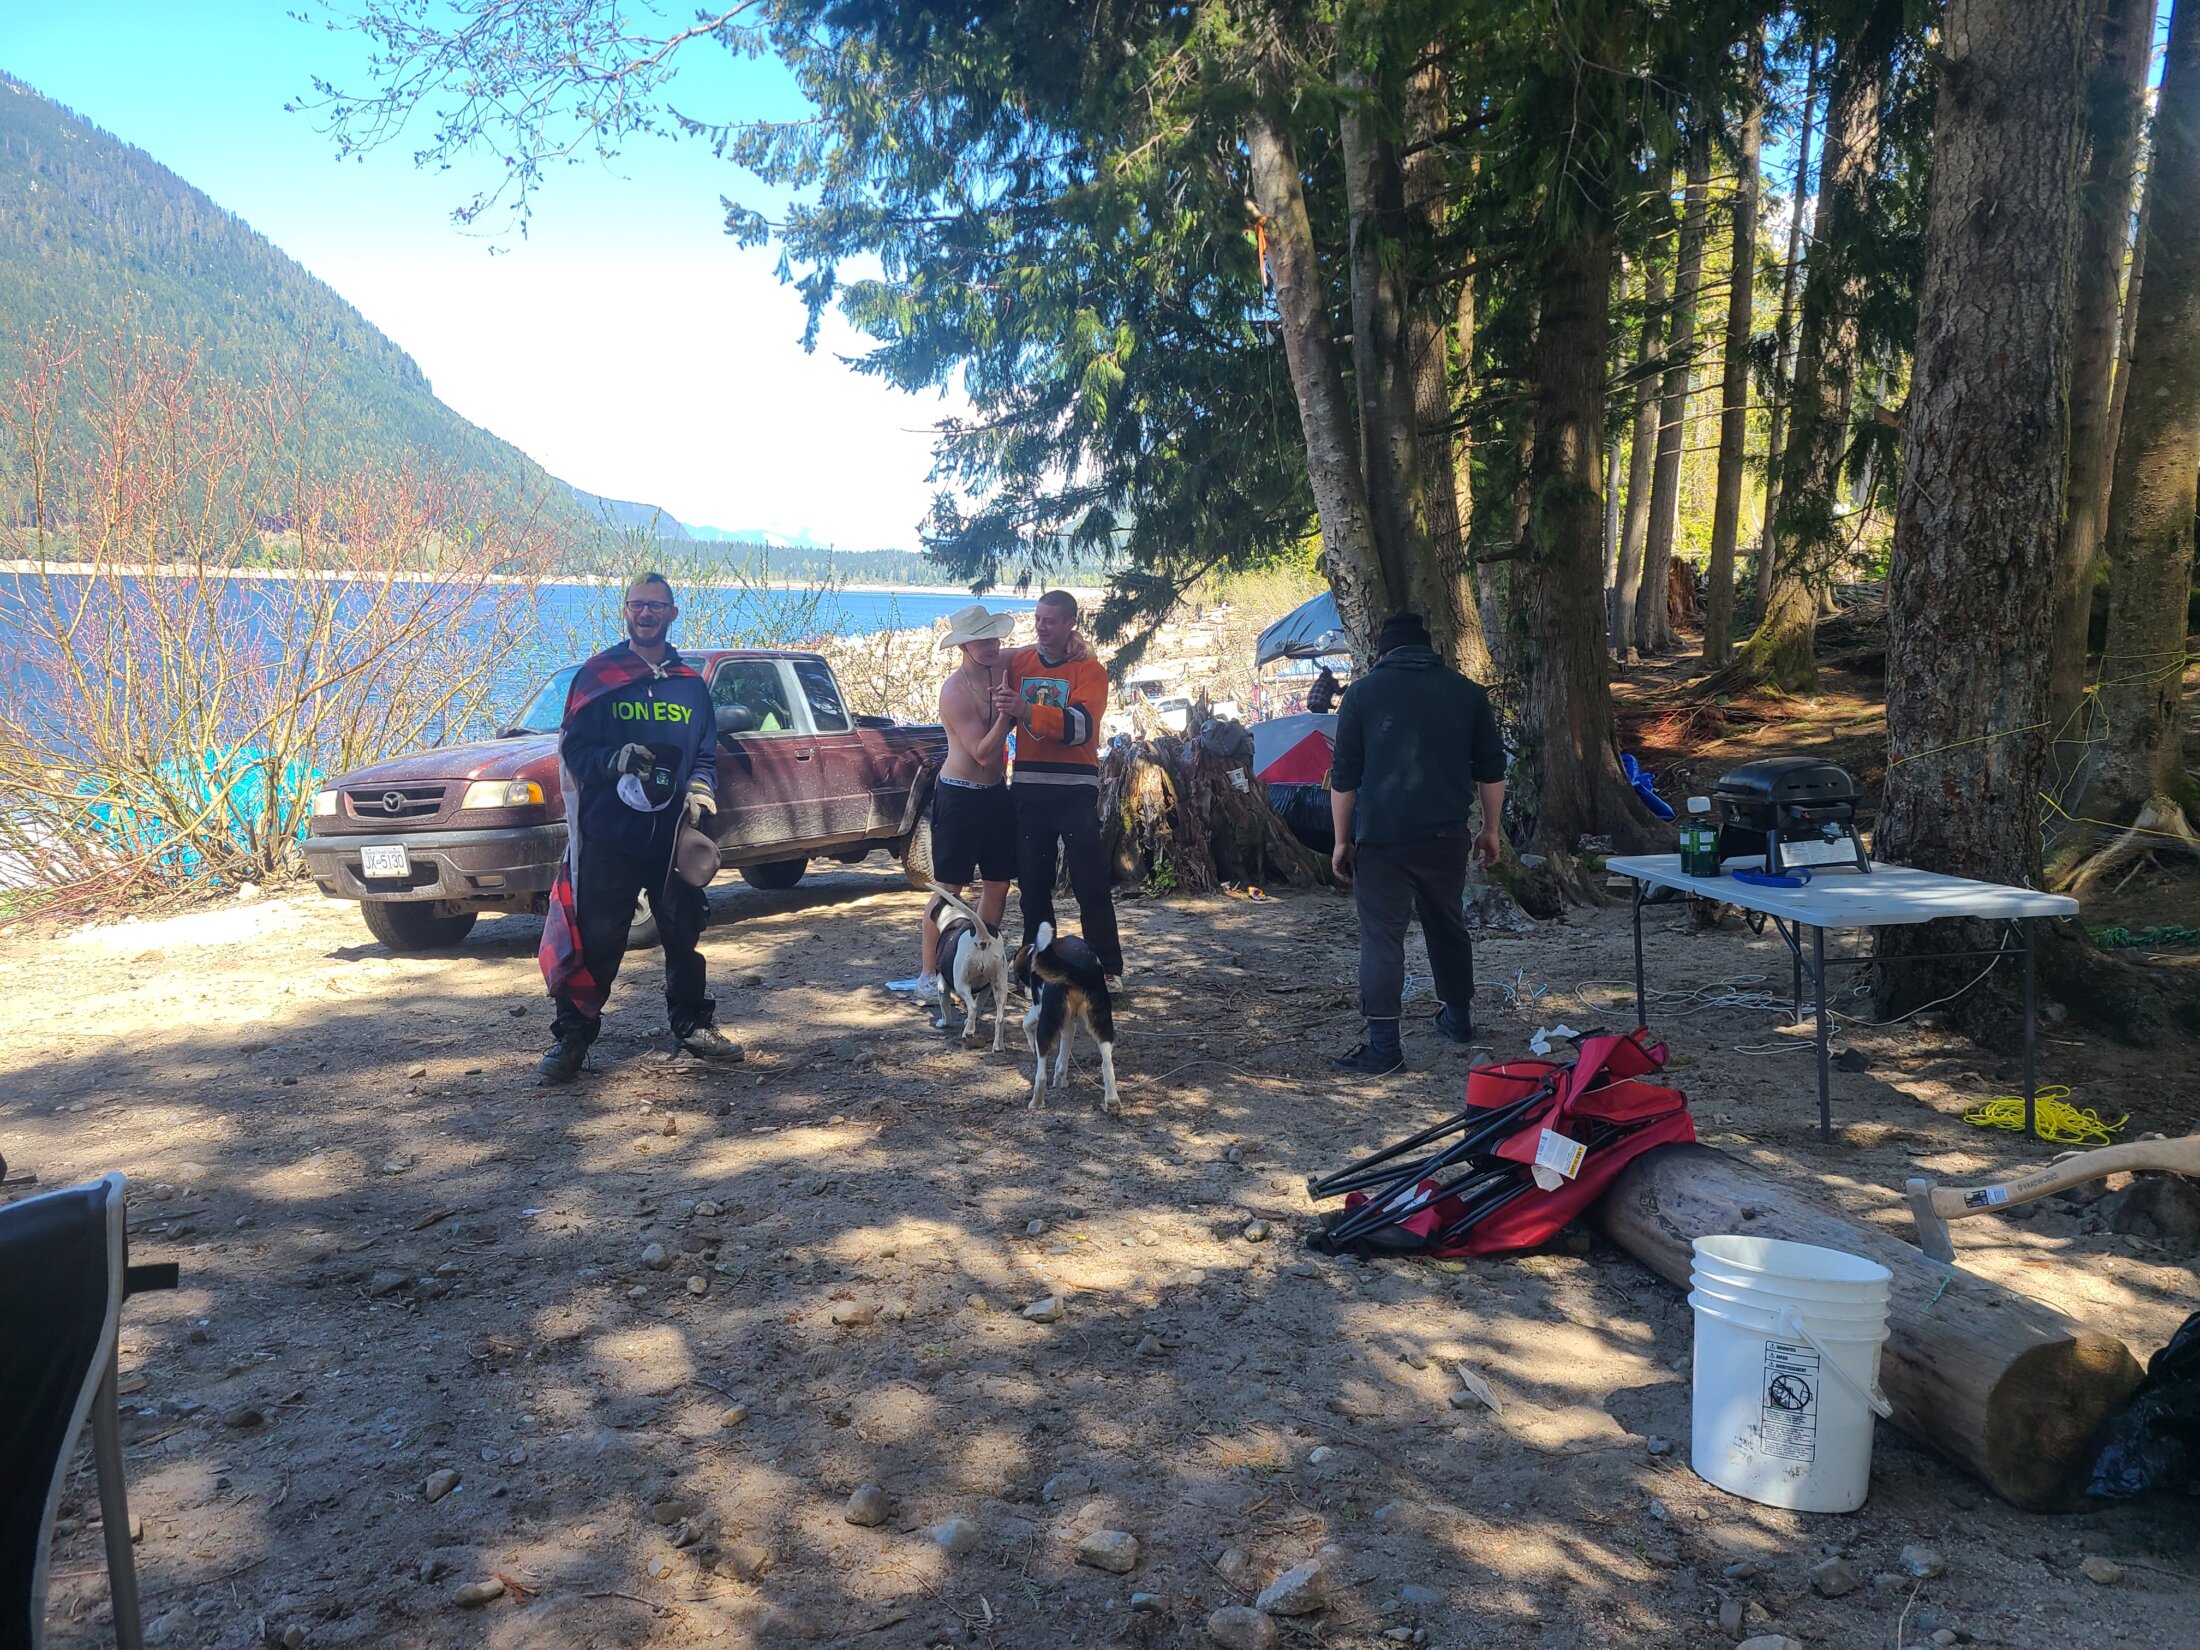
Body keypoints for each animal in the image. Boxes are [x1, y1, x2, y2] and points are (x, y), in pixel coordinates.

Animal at [926, 888, 1011, 1050]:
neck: (954, 916)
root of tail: (982, 937)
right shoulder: (986, 988)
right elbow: (980, 1003)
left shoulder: (942, 982)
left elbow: (945, 1007)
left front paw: (944, 1023)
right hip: (1000, 986)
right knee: (999, 1018)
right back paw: (998, 1046)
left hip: (961, 984)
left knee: (971, 1006)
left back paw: (968, 1032)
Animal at [1012, 922, 1119, 1113]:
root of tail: (1081, 968)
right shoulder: (1070, 1023)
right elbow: (1063, 1057)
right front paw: (1060, 1081)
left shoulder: (1039, 1008)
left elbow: (1026, 1024)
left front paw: (1032, 1046)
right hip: (1103, 1023)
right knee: (1107, 1065)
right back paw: (1112, 1101)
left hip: (1047, 1022)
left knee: (1041, 1074)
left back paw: (1036, 1102)